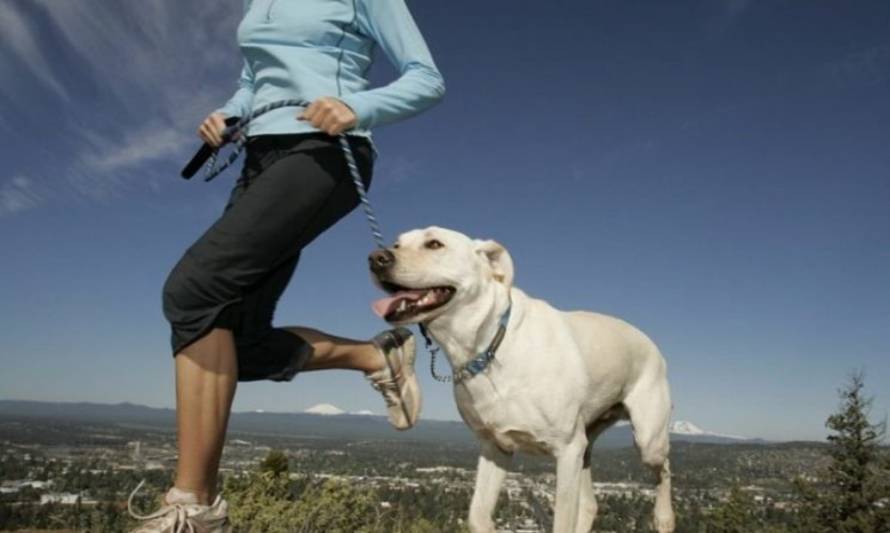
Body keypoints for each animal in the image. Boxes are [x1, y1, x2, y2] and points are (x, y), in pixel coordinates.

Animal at [368, 227, 672, 532]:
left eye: (434, 244)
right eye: (397, 244)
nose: (376, 258)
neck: (488, 347)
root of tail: (649, 341)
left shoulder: (567, 450)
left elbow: (562, 521)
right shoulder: (496, 448)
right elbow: (477, 516)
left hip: (647, 440)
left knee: (664, 467)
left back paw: (664, 517)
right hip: (586, 446)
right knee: (589, 504)